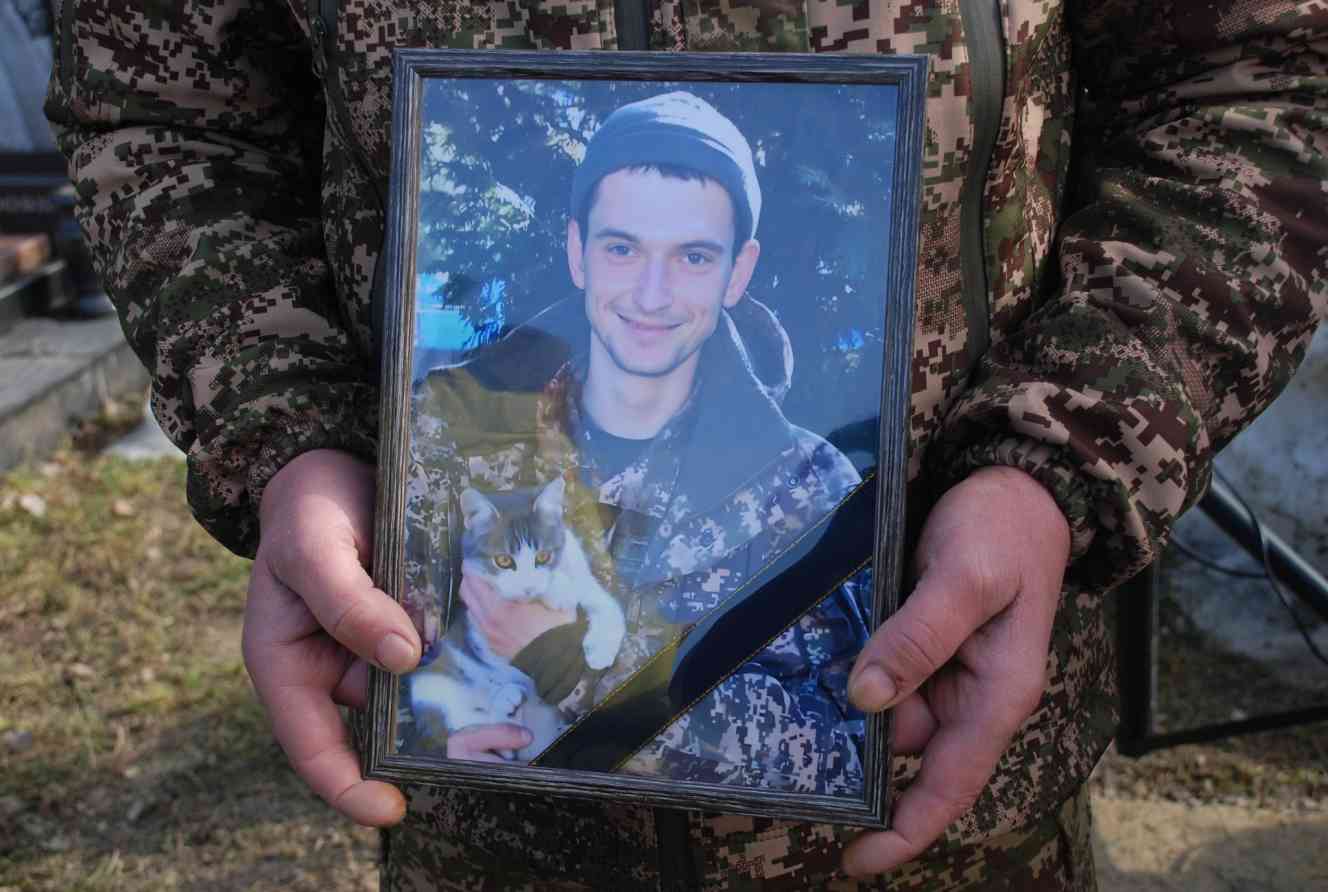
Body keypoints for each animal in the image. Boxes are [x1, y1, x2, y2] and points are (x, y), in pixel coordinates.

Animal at [408, 476, 627, 762]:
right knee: (463, 724)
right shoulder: (476, 611)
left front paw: (601, 649)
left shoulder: (584, 577)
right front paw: (558, 591)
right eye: (503, 560)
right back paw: (505, 705)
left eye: (543, 556)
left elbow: (607, 605)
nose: (528, 587)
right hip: (430, 682)